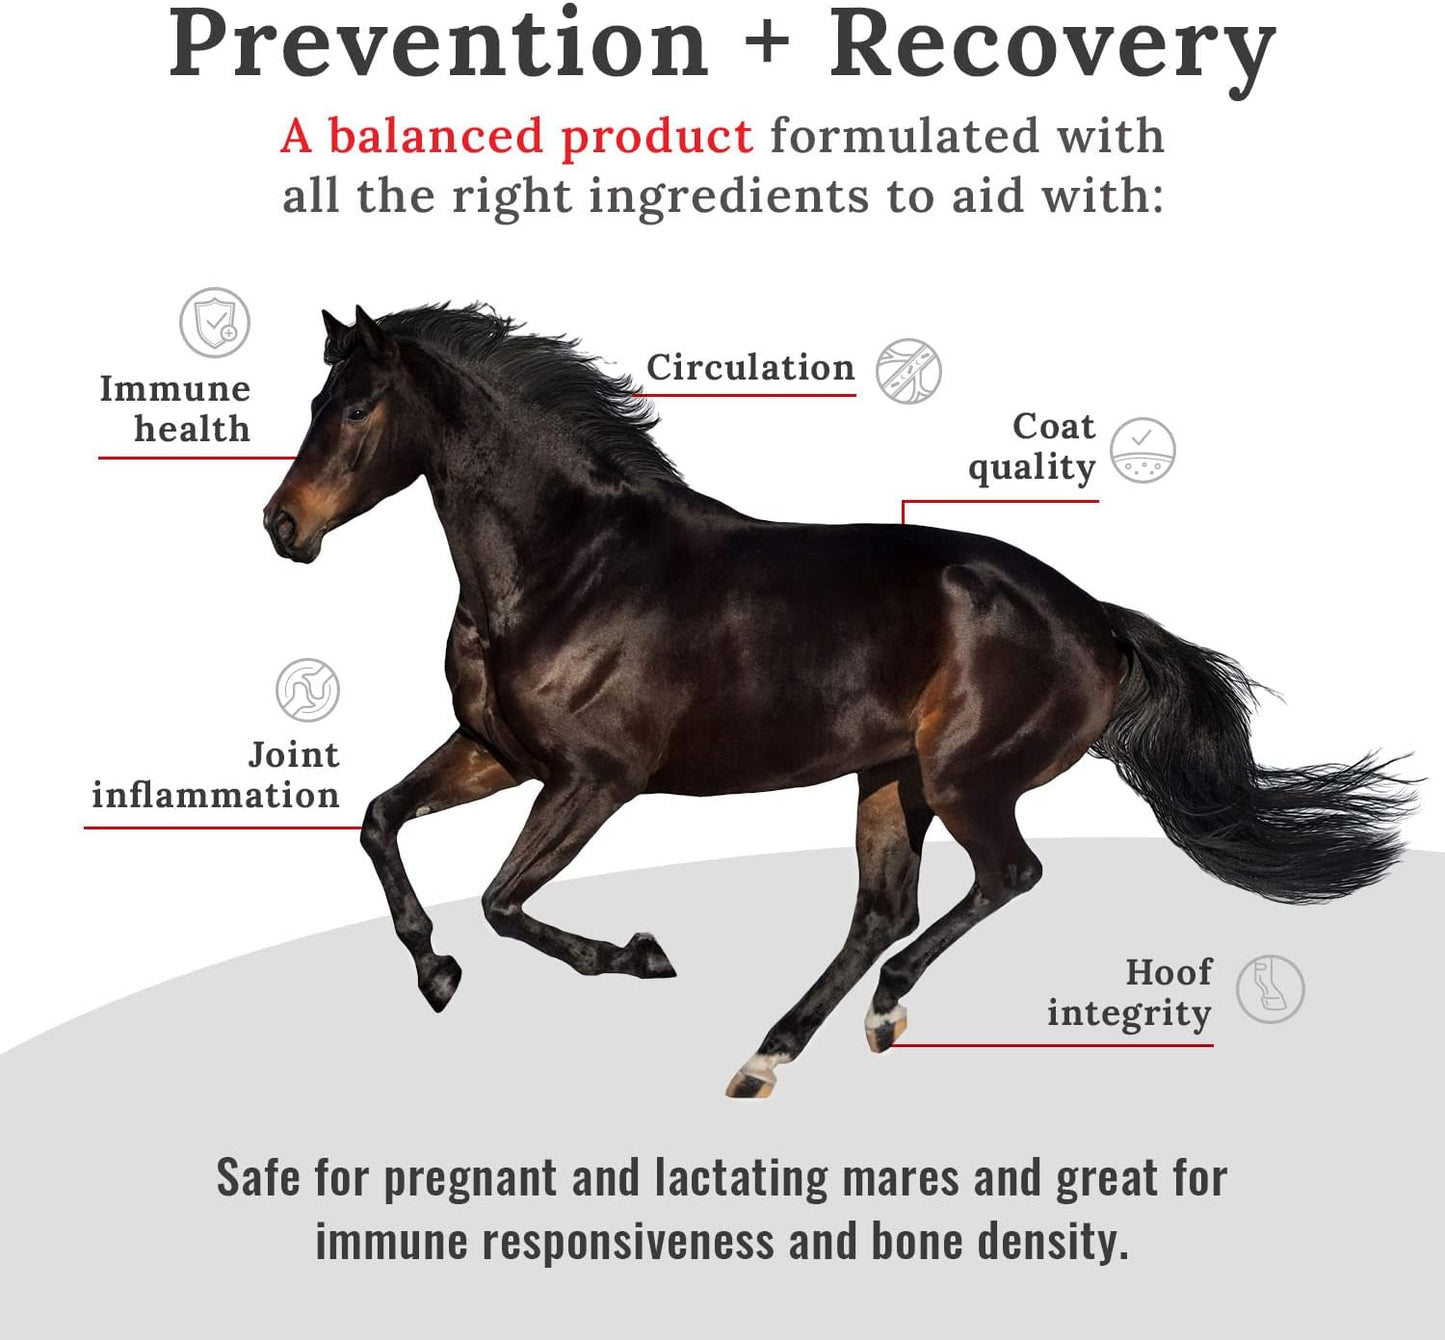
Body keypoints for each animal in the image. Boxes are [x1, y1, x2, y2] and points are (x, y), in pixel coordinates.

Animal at [262, 303, 1412, 1097]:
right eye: (314, 403)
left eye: (356, 406)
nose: (282, 526)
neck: (566, 567)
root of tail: (1094, 618)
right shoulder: (496, 751)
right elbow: (379, 821)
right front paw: (434, 970)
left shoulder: (595, 779)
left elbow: (504, 902)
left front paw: (637, 956)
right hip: (887, 776)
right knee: (882, 909)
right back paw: (769, 1054)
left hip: (961, 778)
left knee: (1002, 877)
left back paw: (880, 1012)